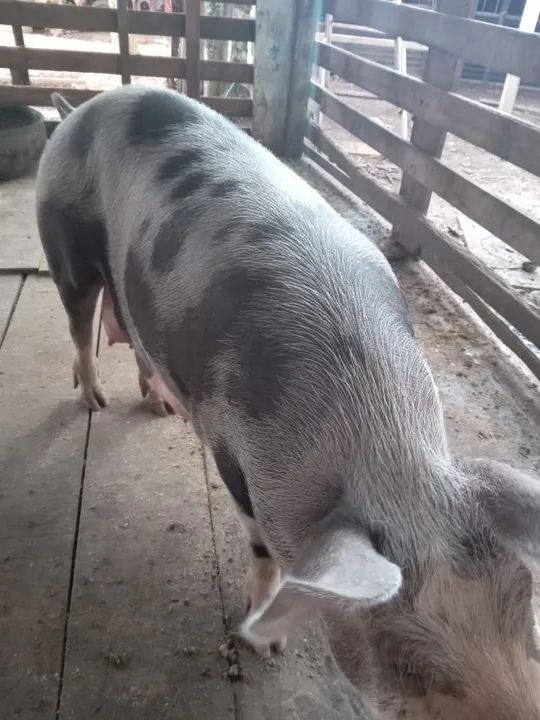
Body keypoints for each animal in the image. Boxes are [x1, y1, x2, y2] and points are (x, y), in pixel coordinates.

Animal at [37, 86, 540, 719]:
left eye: (527, 620)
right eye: (404, 665)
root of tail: (82, 106)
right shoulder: (233, 451)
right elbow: (260, 546)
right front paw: (268, 647)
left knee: (133, 331)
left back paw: (160, 407)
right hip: (64, 239)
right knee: (80, 327)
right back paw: (95, 401)